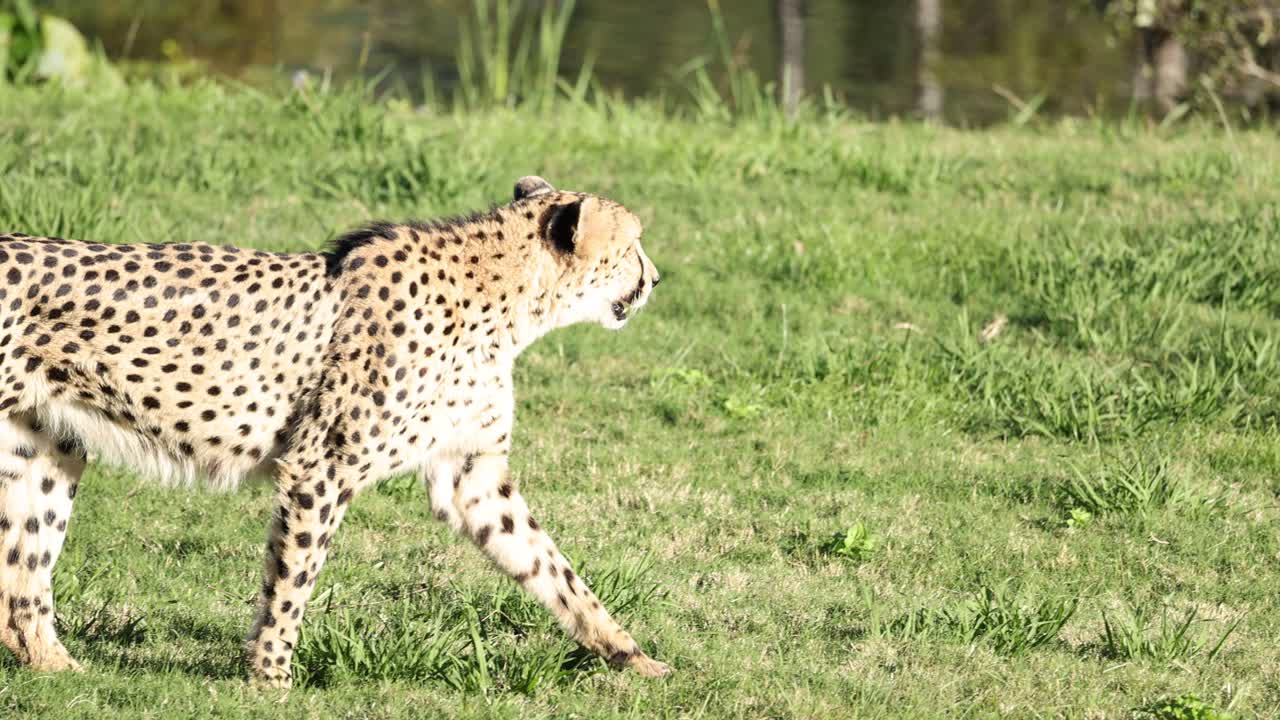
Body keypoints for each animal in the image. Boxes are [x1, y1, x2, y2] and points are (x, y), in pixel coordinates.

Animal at [0, 176, 668, 687]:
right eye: (633, 245)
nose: (656, 279)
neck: (509, 297)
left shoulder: (470, 473)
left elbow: (552, 567)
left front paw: (630, 655)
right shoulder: (321, 465)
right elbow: (294, 578)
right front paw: (271, 678)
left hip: (44, 444)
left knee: (24, 573)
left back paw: (55, 665)